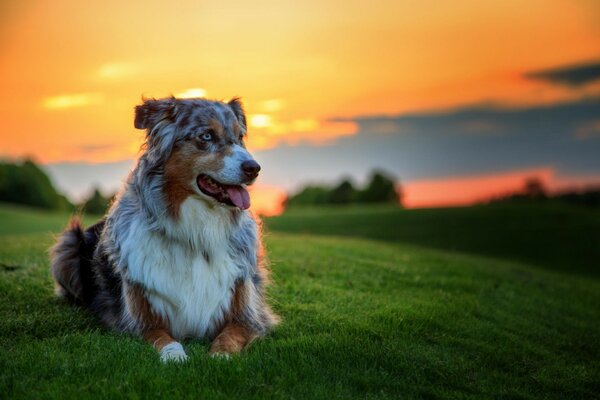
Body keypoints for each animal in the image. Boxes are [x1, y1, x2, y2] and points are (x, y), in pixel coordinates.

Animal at [49, 97, 278, 362]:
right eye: (206, 136)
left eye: (240, 136)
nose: (254, 168)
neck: (196, 235)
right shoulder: (139, 320)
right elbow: (165, 339)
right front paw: (175, 356)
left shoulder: (249, 316)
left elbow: (229, 336)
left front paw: (219, 356)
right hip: (68, 246)